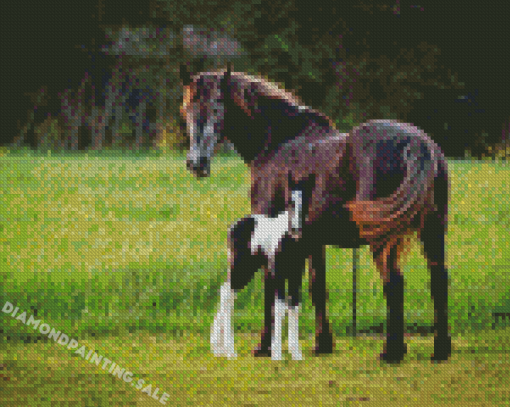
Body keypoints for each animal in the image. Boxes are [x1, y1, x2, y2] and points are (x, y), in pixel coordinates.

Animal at [179, 61, 450, 364]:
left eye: (218, 107)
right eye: (187, 108)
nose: (197, 163)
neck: (278, 141)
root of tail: (417, 144)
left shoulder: (270, 238)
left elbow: (271, 288)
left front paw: (264, 346)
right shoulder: (311, 241)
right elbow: (317, 287)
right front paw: (323, 343)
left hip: (383, 240)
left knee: (394, 282)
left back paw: (392, 351)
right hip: (433, 232)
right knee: (438, 281)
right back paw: (440, 349)